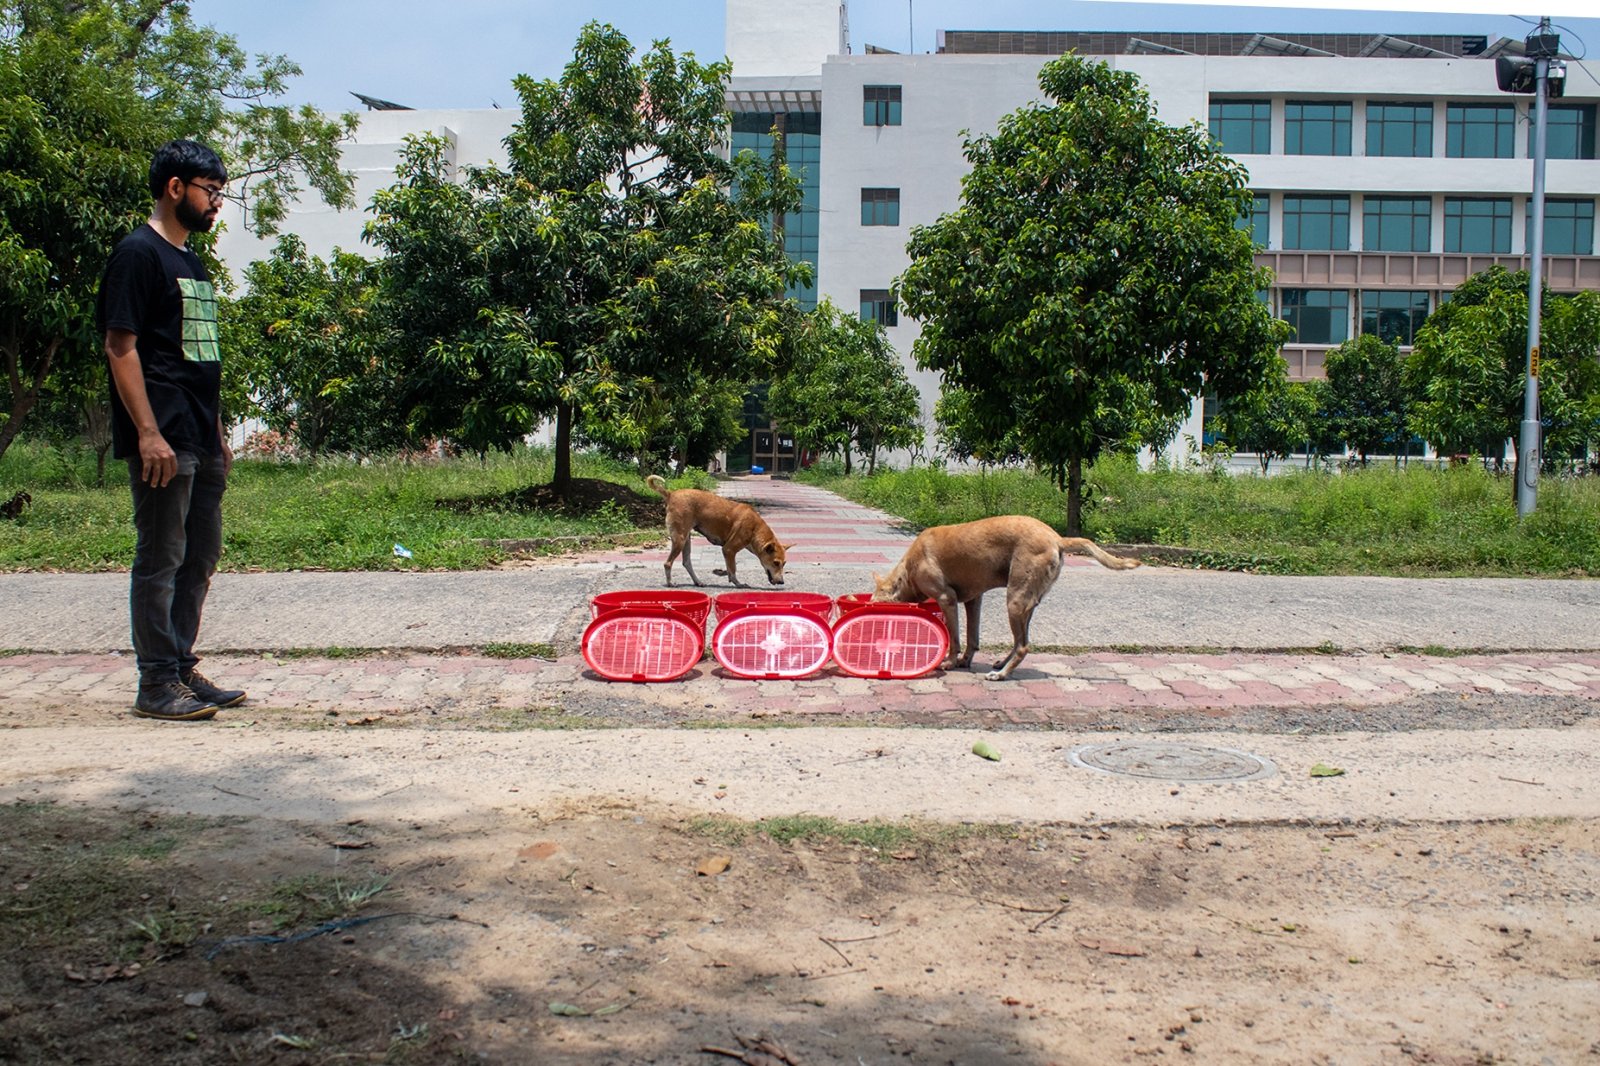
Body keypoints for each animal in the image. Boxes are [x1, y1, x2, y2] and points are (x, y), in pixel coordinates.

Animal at [643, 473, 793, 585]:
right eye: (776, 563)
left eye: (784, 563)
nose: (782, 582)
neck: (755, 529)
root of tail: (671, 494)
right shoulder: (729, 549)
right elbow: (732, 569)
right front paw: (738, 583)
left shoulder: (729, 551)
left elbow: (729, 569)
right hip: (680, 538)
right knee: (667, 563)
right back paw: (670, 583)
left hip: (686, 539)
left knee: (686, 562)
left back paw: (698, 581)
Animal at [876, 515, 1139, 681]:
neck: (909, 569)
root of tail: (1057, 538)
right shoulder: (974, 600)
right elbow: (972, 637)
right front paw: (965, 660)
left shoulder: (946, 598)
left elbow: (955, 638)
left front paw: (950, 662)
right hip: (1026, 604)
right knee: (1020, 641)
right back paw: (1002, 665)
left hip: (1015, 600)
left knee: (1023, 646)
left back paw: (1001, 675)